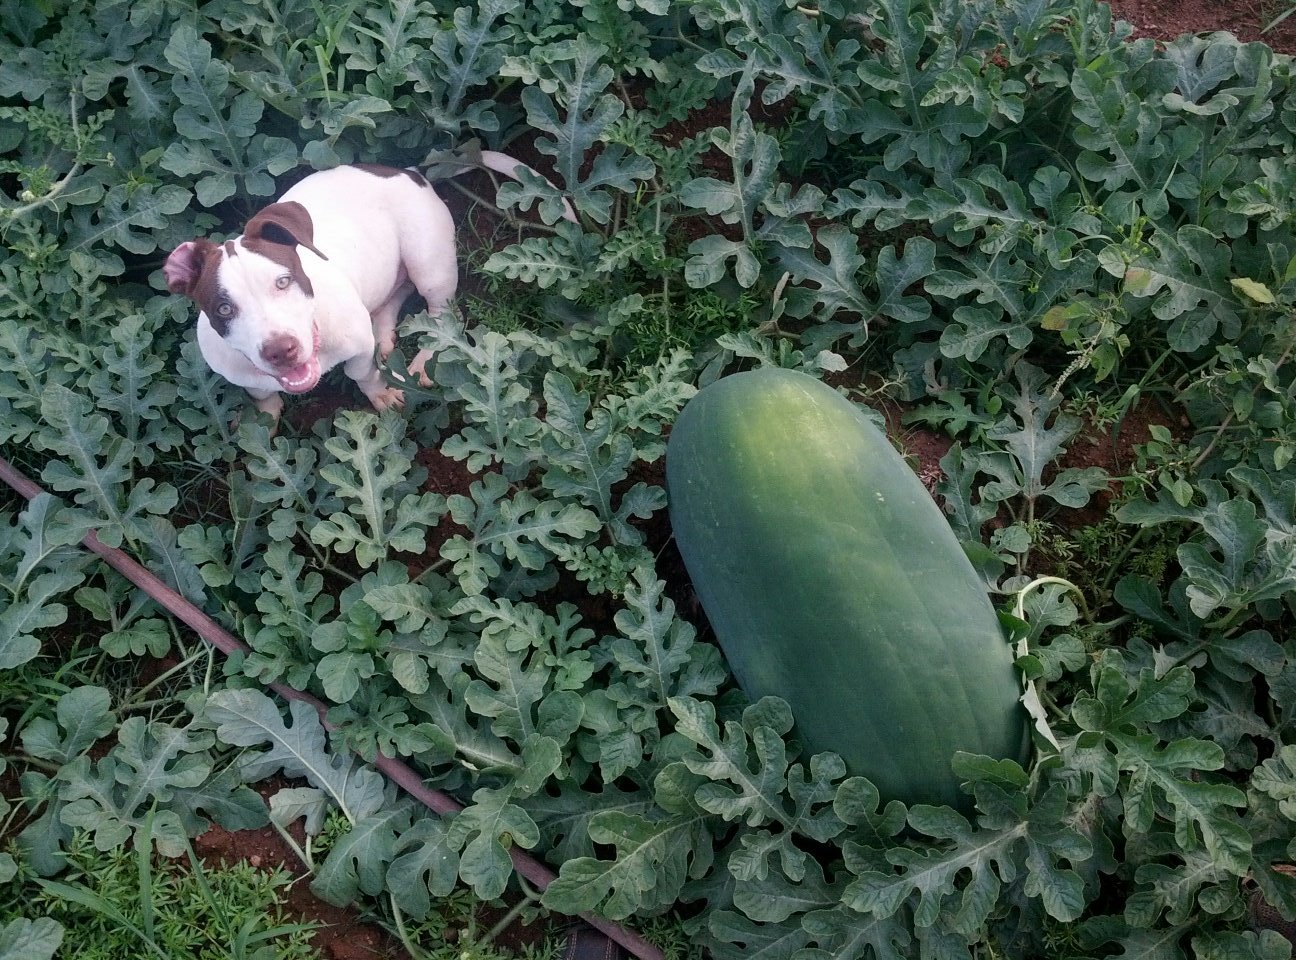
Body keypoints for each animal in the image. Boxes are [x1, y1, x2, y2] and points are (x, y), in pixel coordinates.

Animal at [162, 149, 567, 419]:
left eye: (283, 281)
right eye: (223, 308)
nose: (281, 350)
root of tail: (408, 171)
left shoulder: (357, 348)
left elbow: (361, 373)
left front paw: (381, 396)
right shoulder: (236, 370)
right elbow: (258, 393)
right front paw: (264, 420)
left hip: (429, 263)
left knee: (441, 313)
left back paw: (422, 360)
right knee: (394, 295)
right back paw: (384, 334)